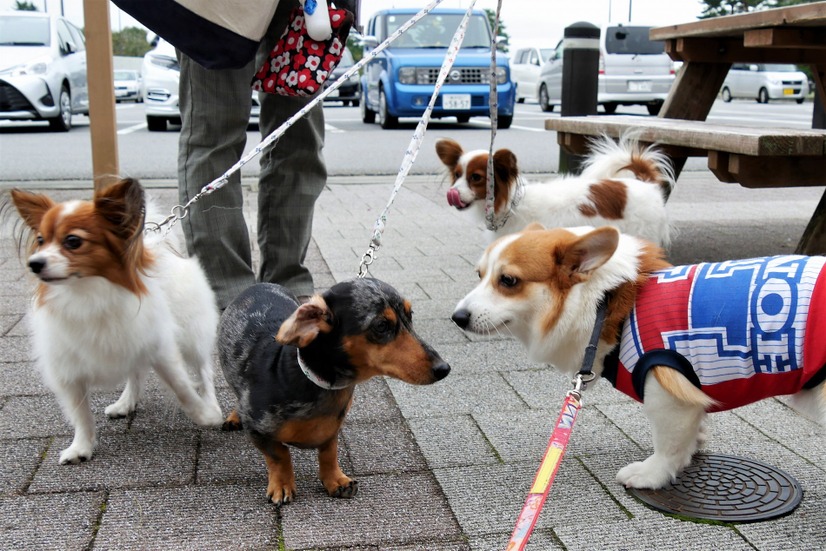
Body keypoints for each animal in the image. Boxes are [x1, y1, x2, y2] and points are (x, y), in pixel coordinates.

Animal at [6, 179, 224, 464]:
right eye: (40, 240)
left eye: (73, 241)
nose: (34, 263)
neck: (86, 293)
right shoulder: (67, 368)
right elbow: (80, 413)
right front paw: (81, 447)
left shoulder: (160, 347)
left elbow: (182, 388)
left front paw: (206, 415)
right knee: (135, 373)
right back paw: (125, 403)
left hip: (191, 336)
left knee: (204, 371)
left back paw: (211, 402)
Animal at [450, 225, 824, 492]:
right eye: (479, 275)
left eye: (508, 280)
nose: (458, 317)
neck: (606, 304)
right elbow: (694, 430)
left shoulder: (667, 393)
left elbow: (668, 446)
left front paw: (652, 474)